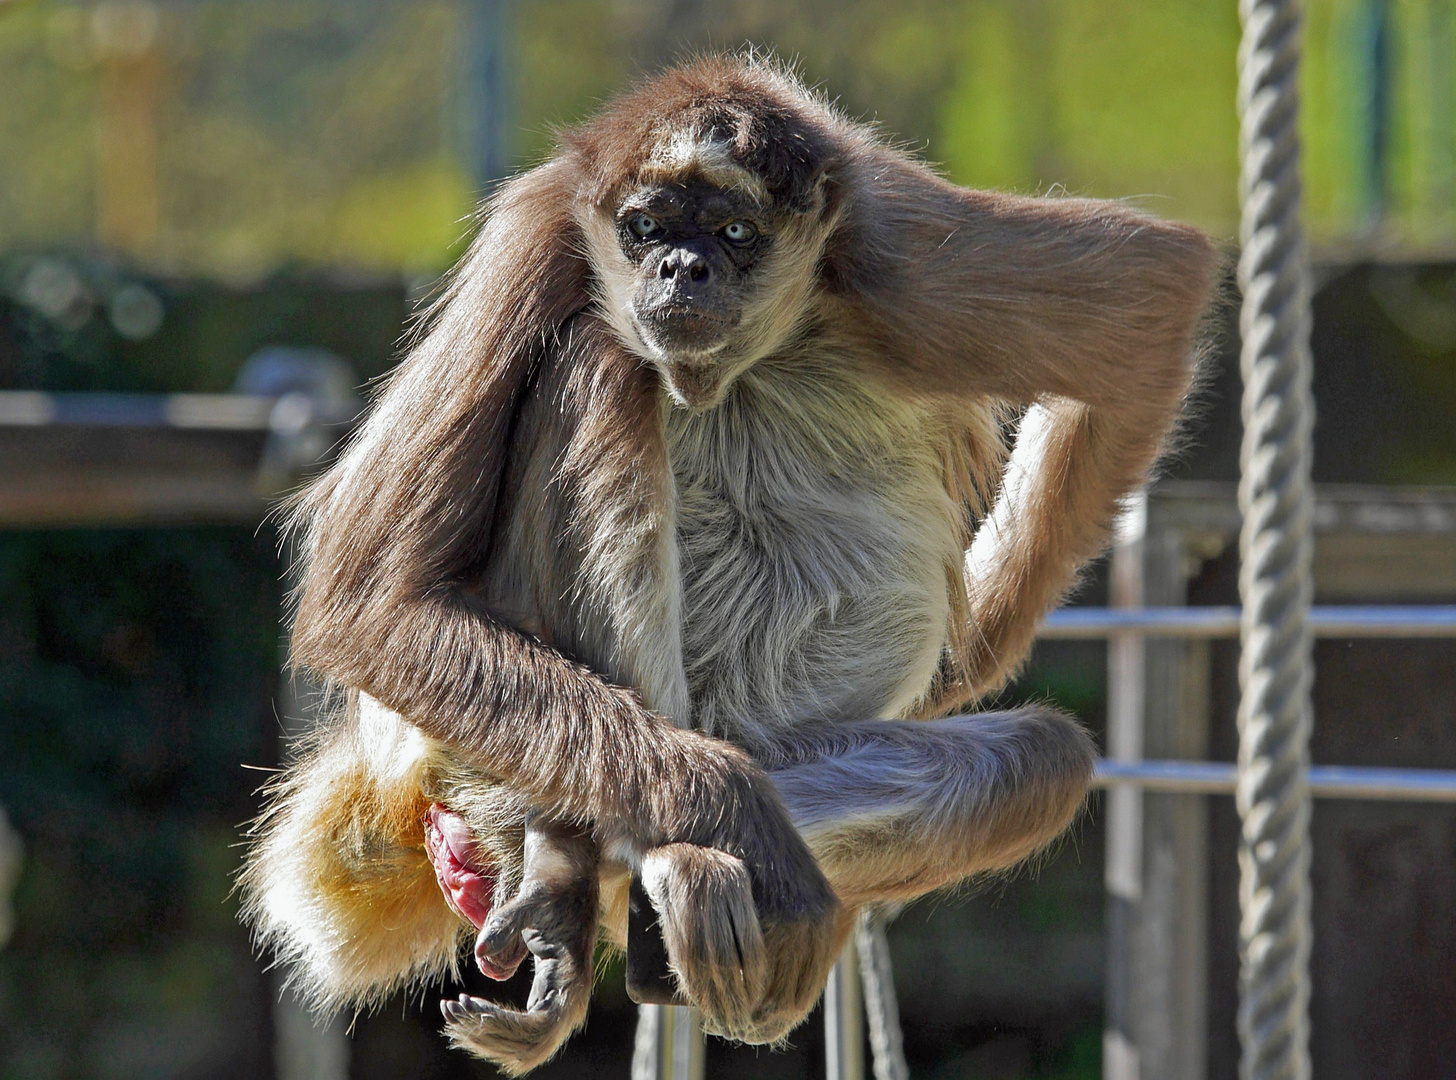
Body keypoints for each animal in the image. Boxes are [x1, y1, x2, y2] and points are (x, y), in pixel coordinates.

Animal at [241, 57, 1217, 1077]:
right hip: (538, 747)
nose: (682, 267)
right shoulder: (539, 234)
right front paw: (741, 816)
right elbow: (368, 599)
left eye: (734, 233)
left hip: (758, 745)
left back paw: (614, 872)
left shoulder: (893, 245)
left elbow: (1160, 292)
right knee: (599, 353)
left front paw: (963, 659)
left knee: (1040, 761)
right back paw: (593, 857)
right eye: (647, 228)